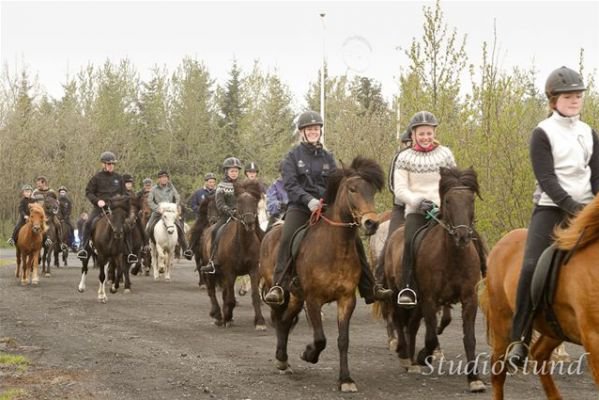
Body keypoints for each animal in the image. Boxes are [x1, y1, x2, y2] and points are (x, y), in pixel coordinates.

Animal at [199, 180, 264, 328]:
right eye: (239, 202)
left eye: (254, 201)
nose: (250, 222)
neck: (243, 244)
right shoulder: (230, 272)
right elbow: (230, 298)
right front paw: (227, 317)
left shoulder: (253, 270)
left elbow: (255, 296)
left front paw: (260, 321)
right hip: (210, 270)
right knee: (211, 291)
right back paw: (217, 315)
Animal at [262, 157, 384, 394]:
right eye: (352, 189)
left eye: (372, 191)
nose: (371, 223)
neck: (335, 248)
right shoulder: (313, 299)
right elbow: (320, 338)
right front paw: (308, 353)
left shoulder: (346, 299)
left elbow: (343, 340)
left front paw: (345, 379)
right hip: (284, 292)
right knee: (280, 318)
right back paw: (281, 359)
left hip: (296, 297)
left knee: (285, 321)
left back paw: (283, 360)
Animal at [384, 165, 488, 390]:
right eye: (448, 200)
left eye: (471, 200)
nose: (462, 236)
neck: (453, 256)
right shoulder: (430, 299)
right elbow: (431, 337)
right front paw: (424, 356)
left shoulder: (469, 299)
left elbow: (469, 338)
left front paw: (474, 379)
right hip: (399, 293)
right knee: (399, 320)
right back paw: (406, 357)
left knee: (412, 325)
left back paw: (412, 361)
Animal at [480, 195, 599, 398]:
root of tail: (503, 241)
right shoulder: (593, 338)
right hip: (502, 324)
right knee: (497, 372)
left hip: (555, 328)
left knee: (539, 353)